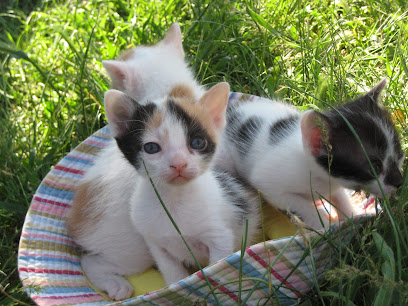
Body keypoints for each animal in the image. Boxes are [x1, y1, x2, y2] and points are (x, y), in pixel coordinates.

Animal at [103, 82, 260, 286]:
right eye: (151, 148)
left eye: (198, 142)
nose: (178, 163)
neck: (174, 200)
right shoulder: (154, 241)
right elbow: (172, 272)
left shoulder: (220, 237)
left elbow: (216, 267)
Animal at [217, 80, 404, 228]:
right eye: (375, 167)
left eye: (400, 155)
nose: (400, 182)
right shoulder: (269, 183)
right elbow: (300, 204)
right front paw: (323, 225)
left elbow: (339, 196)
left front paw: (352, 213)